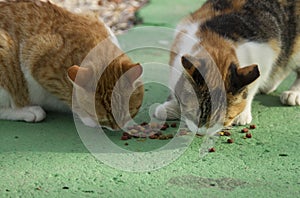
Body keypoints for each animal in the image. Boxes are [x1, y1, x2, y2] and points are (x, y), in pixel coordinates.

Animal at [0, 0, 145, 130]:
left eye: (129, 112)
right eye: (103, 119)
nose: (117, 128)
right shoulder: (36, 61)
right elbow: (71, 97)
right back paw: (29, 111)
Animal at [155, 0, 300, 131]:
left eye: (223, 119)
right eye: (194, 115)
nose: (201, 133)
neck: (216, 40)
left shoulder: (266, 55)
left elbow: (252, 88)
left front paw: (242, 114)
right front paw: (171, 107)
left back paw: (292, 94)